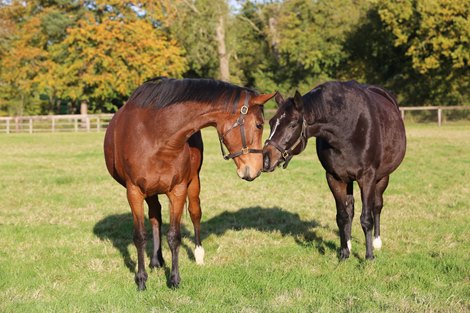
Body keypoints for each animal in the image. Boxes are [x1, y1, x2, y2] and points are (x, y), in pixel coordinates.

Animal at [104, 76, 274, 288]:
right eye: (259, 125)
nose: (257, 168)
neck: (155, 135)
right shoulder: (134, 192)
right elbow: (140, 236)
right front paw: (141, 279)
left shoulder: (177, 190)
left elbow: (174, 236)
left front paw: (174, 279)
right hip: (150, 192)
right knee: (155, 216)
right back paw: (156, 260)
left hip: (193, 181)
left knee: (194, 212)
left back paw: (198, 254)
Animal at [262, 80, 406, 258]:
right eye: (271, 122)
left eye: (293, 124)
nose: (266, 159)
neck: (346, 128)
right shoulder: (334, 178)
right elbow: (342, 216)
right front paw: (344, 253)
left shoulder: (367, 177)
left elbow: (367, 218)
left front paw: (369, 257)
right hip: (348, 180)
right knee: (350, 209)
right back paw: (349, 244)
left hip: (382, 177)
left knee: (377, 205)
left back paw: (377, 242)